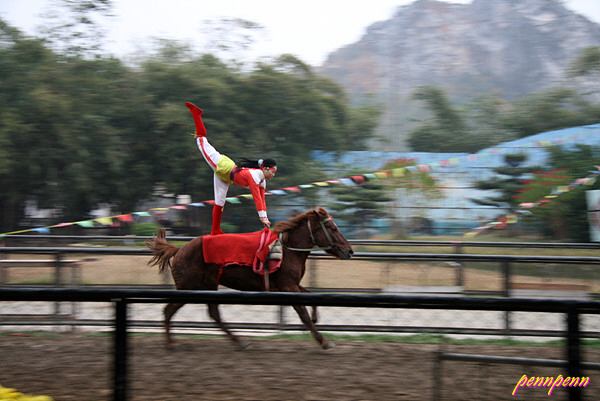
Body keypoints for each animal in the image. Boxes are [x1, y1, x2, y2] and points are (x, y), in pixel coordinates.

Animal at [148, 208, 354, 348]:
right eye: (333, 228)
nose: (350, 251)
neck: (288, 249)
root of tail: (179, 249)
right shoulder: (288, 285)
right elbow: (302, 312)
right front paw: (324, 340)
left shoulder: (291, 285)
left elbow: (310, 298)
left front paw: (316, 319)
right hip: (188, 286)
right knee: (169, 310)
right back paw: (170, 343)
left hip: (208, 285)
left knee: (213, 314)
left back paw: (239, 341)